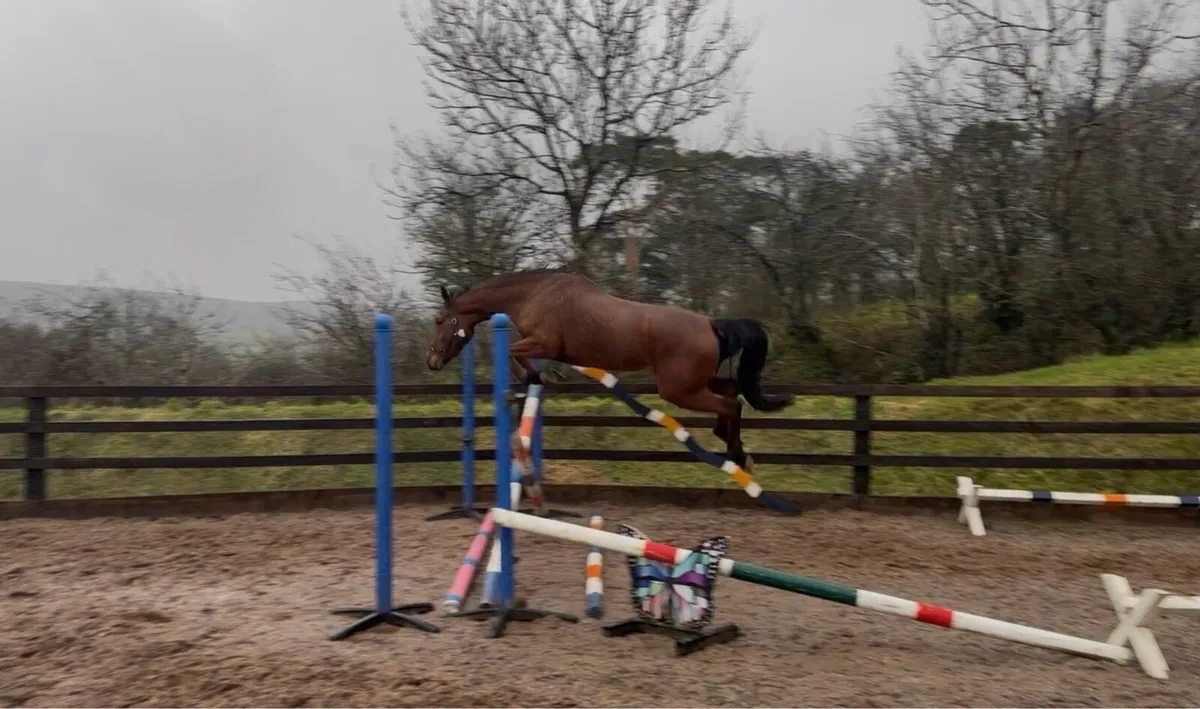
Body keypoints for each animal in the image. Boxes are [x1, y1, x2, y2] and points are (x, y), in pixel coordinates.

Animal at [424, 270, 793, 474]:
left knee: (732, 403)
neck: (533, 294)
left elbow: (516, 355)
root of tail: (711, 324)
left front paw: (540, 378)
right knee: (731, 390)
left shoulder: (542, 343)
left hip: (678, 389)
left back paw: (737, 455)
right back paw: (735, 447)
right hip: (691, 383)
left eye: (441, 321)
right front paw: (539, 378)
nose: (432, 361)